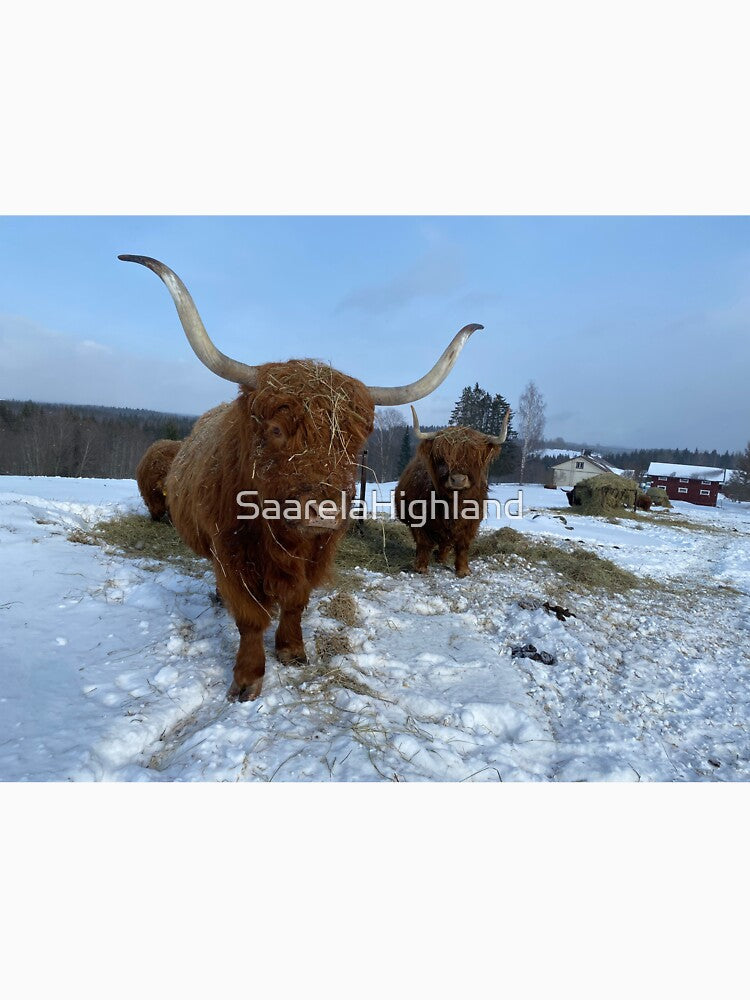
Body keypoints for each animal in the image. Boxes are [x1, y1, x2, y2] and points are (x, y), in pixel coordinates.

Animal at [119, 255, 482, 701]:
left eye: (355, 440)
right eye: (276, 429)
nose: (322, 510)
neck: (280, 535)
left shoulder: (316, 555)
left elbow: (295, 602)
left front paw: (292, 650)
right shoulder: (231, 554)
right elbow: (250, 616)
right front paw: (247, 679)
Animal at [395, 406, 510, 578]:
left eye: (473, 458)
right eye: (442, 457)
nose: (458, 480)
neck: (453, 504)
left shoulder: (471, 522)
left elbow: (463, 546)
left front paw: (463, 570)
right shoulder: (417, 519)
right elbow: (423, 543)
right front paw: (421, 567)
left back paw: (441, 558)